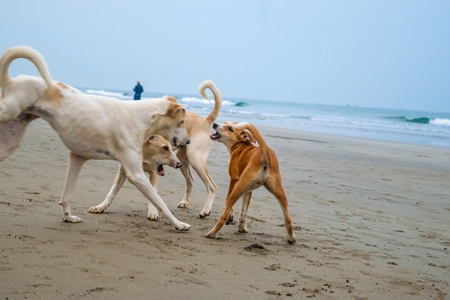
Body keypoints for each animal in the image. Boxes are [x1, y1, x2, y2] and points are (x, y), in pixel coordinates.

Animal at [0, 45, 192, 231]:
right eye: (182, 121)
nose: (188, 142)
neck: (138, 117)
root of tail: (14, 80)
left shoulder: (77, 158)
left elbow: (66, 195)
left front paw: (68, 217)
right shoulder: (136, 174)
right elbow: (161, 203)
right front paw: (179, 224)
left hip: (9, 142)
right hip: (7, 112)